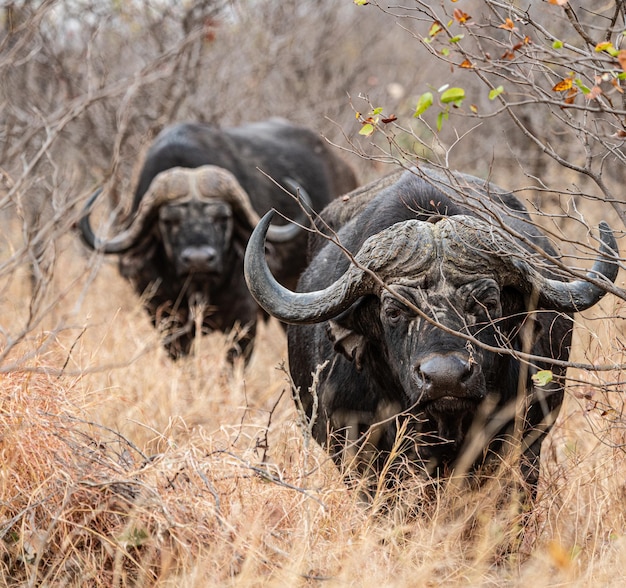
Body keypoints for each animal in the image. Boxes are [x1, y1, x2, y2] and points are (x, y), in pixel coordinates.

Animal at [79, 118, 356, 358]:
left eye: (222, 217)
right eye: (169, 221)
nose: (199, 260)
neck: (200, 288)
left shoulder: (244, 321)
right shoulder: (165, 320)